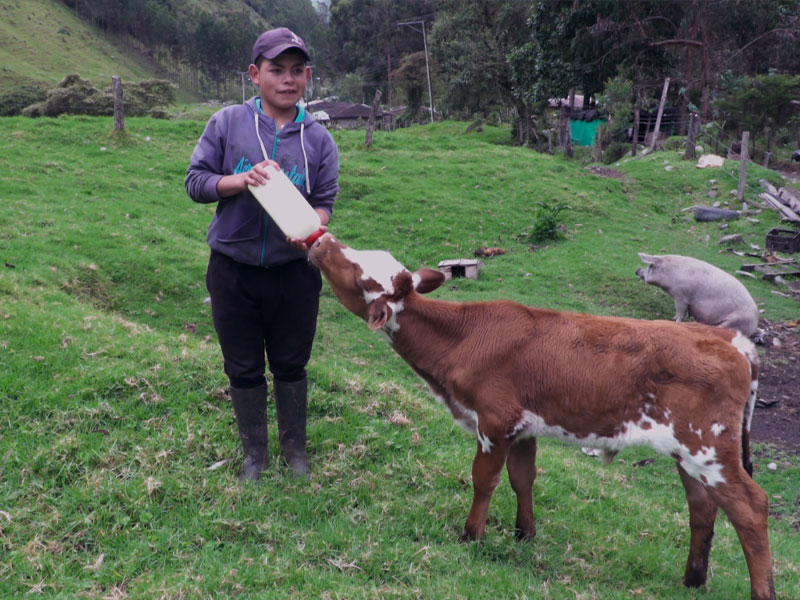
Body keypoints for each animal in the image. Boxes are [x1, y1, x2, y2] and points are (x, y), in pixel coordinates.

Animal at [308, 233, 776, 600]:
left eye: (359, 275)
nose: (323, 241)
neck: (462, 338)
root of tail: (732, 341)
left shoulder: (494, 421)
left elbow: (485, 480)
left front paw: (471, 536)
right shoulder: (522, 427)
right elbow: (523, 479)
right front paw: (524, 536)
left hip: (708, 444)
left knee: (750, 507)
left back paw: (760, 590)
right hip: (690, 451)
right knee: (703, 507)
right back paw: (692, 579)